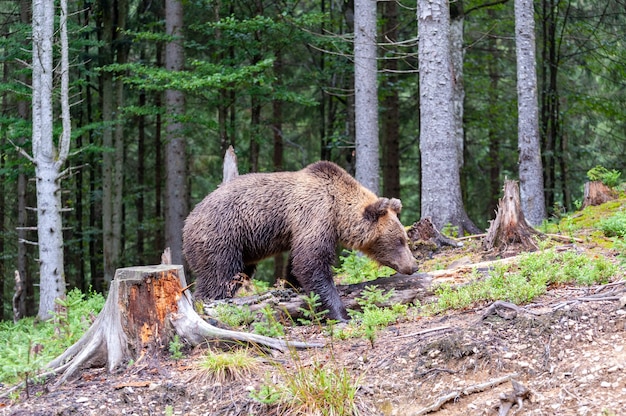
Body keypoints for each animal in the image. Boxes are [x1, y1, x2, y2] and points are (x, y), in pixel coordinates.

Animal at [182, 161, 414, 320]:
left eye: (405, 238)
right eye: (399, 240)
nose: (413, 265)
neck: (337, 211)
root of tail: (188, 220)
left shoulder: (303, 229)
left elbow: (297, 262)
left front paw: (294, 286)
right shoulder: (315, 214)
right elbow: (311, 262)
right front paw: (341, 313)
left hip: (243, 249)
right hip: (222, 237)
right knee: (218, 277)